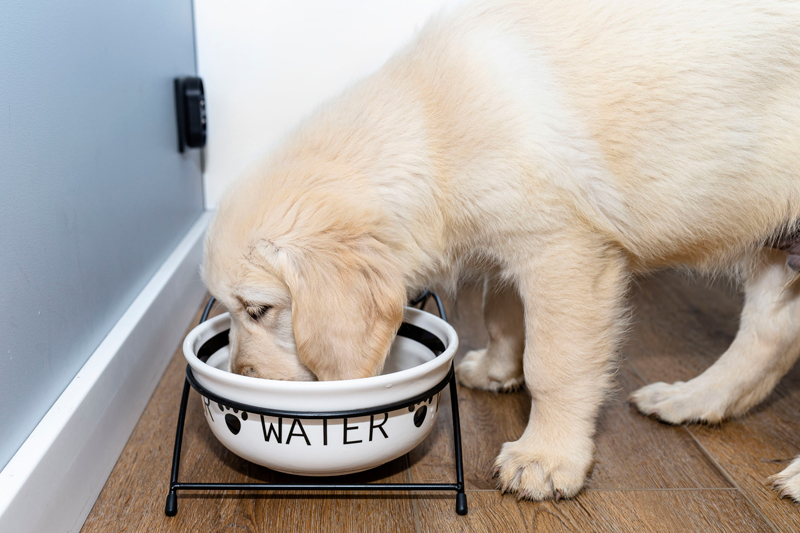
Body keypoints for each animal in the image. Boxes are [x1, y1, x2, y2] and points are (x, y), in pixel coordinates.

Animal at [203, 0, 800, 500]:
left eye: (259, 309)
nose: (242, 378)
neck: (430, 129)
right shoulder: (510, 246)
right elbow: (502, 314)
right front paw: (495, 369)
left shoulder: (564, 253)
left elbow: (553, 365)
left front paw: (547, 457)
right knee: (768, 338)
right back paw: (693, 398)